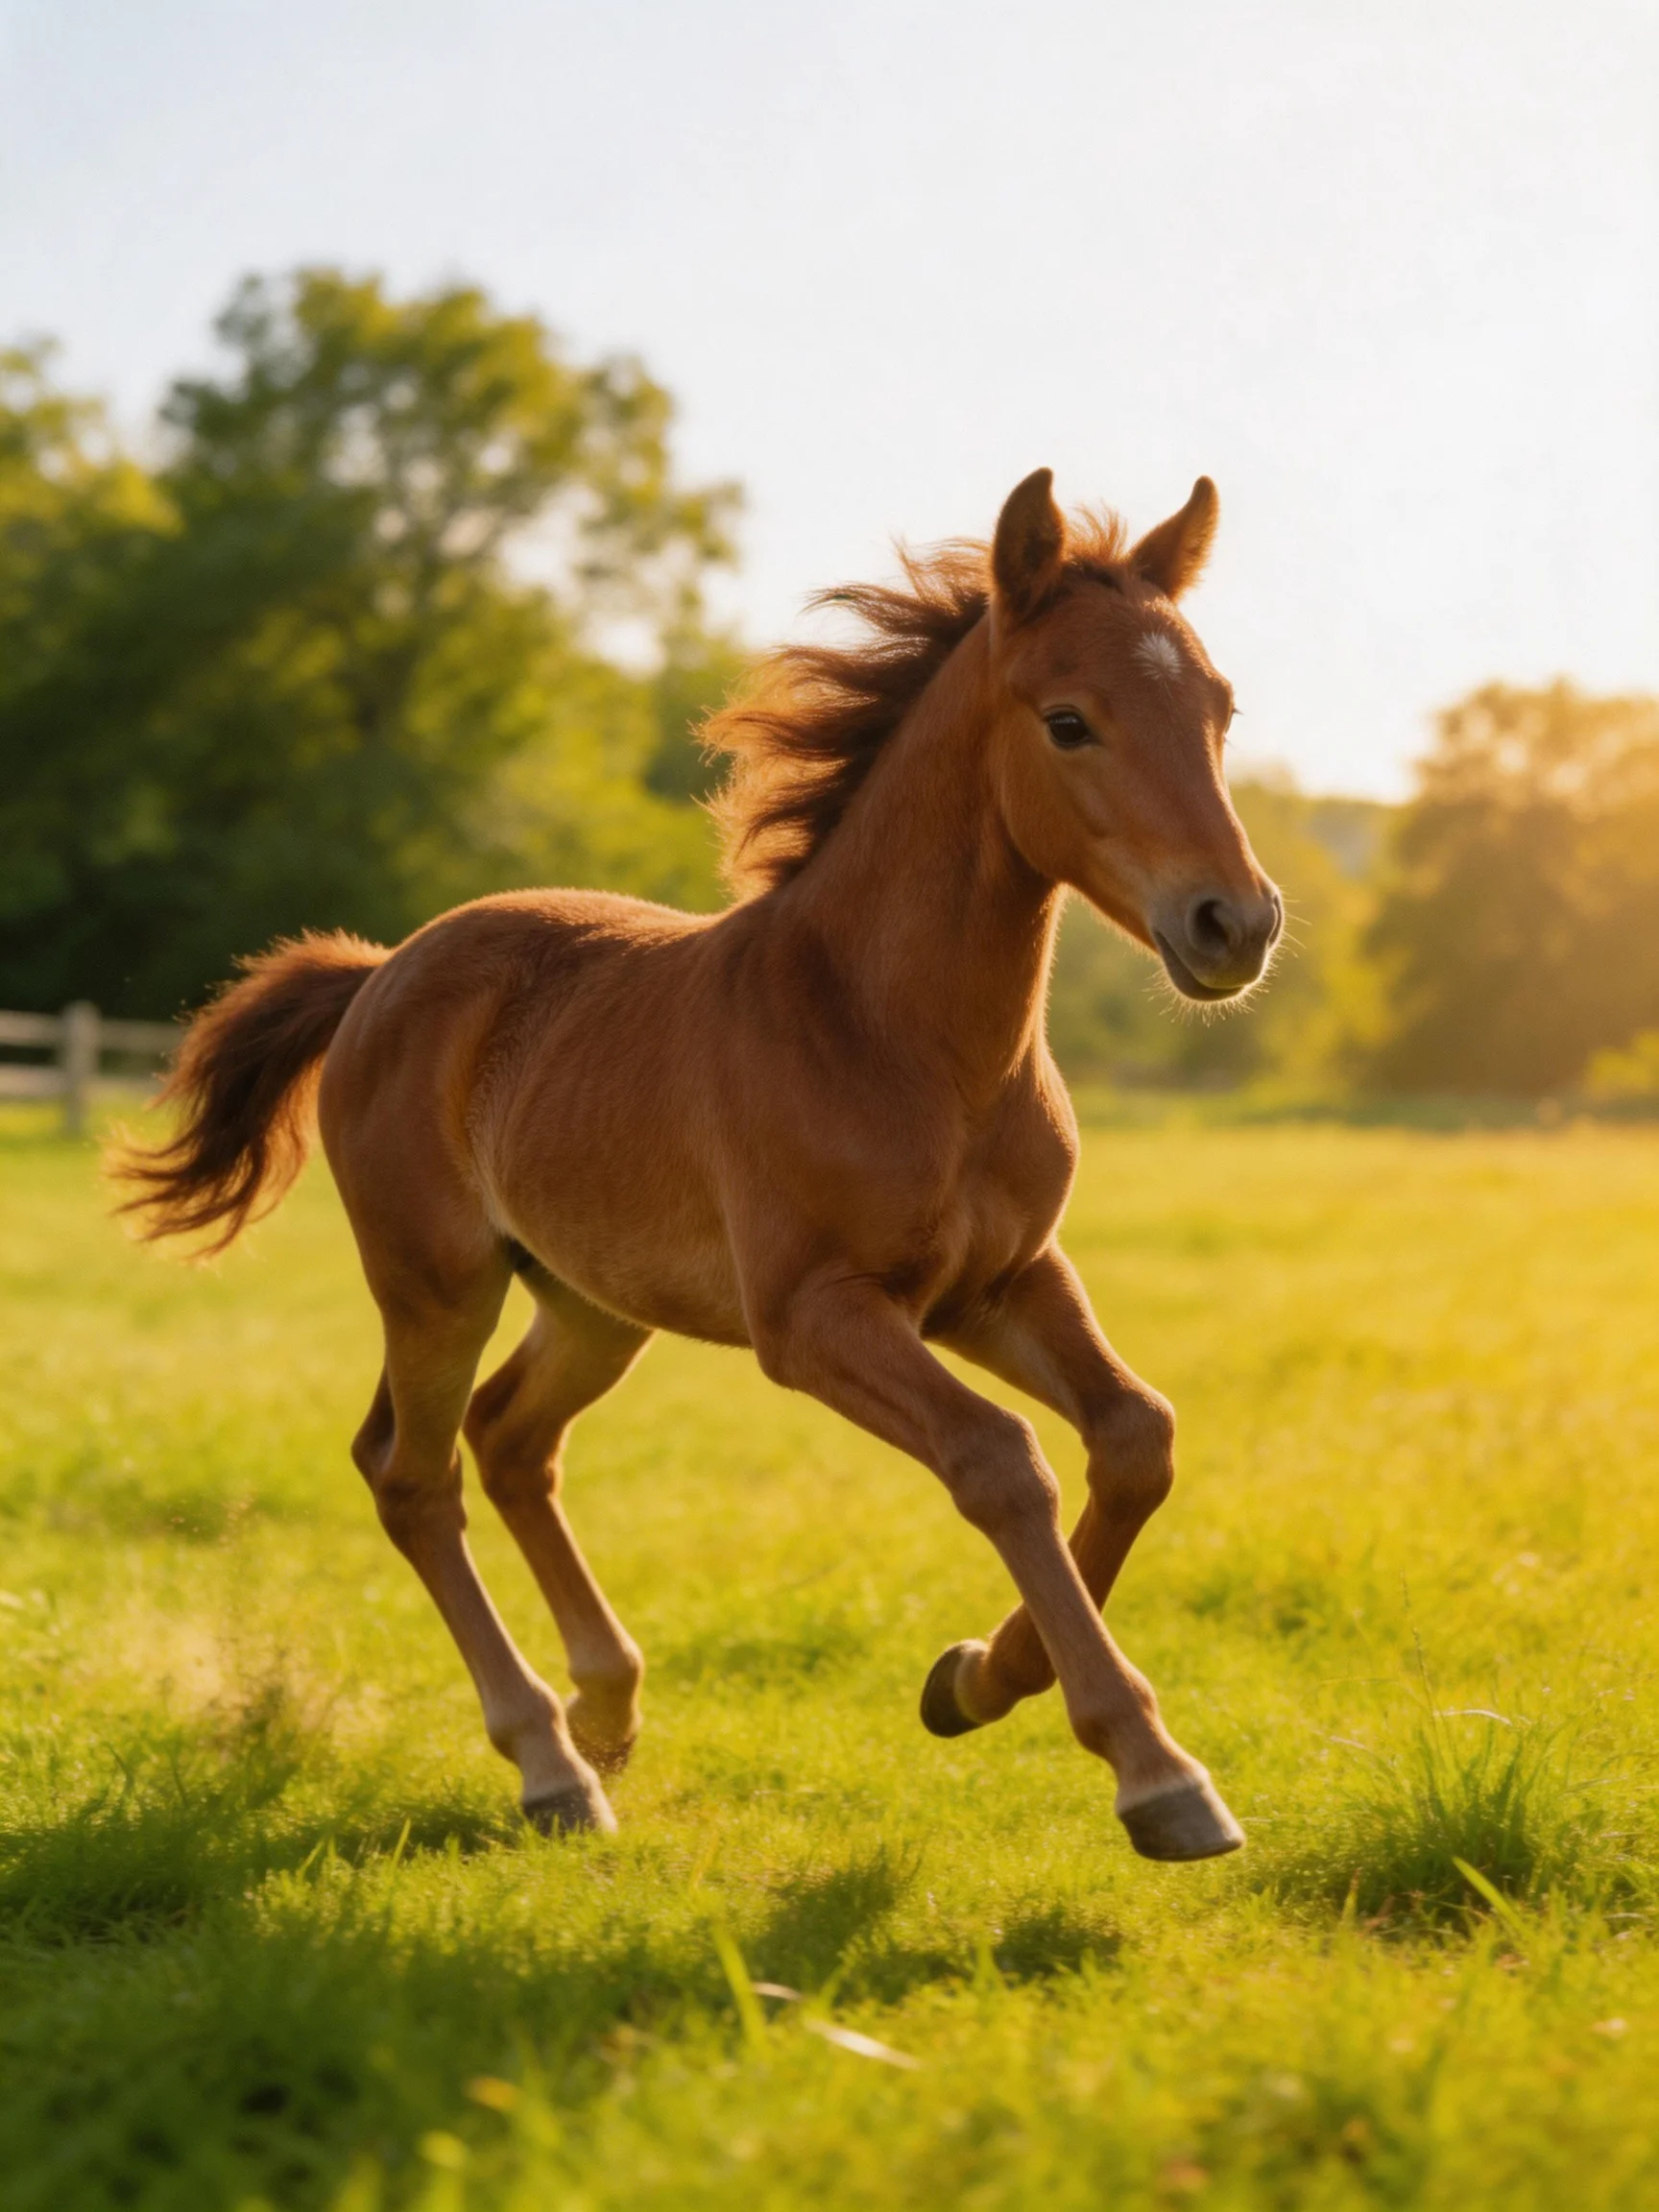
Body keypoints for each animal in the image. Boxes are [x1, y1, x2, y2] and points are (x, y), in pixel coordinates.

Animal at [121, 468, 1282, 1861]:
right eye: (1070, 722)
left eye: (1218, 708)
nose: (1236, 924)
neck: (897, 1036)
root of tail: (380, 971)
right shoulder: (816, 1317)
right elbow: (1002, 1461)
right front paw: (1157, 1773)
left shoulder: (1002, 1284)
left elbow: (1134, 1435)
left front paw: (971, 1682)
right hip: (437, 1284)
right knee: (413, 1474)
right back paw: (550, 1764)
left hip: (592, 1302)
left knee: (511, 1441)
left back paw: (606, 1709)